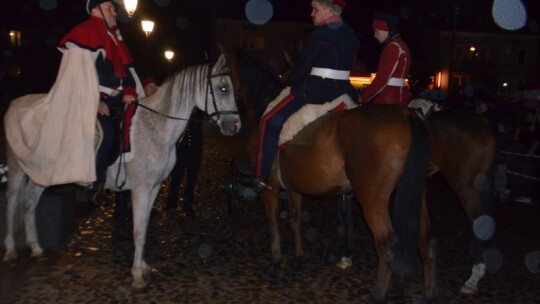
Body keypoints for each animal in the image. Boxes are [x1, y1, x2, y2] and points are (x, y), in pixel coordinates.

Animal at [2, 54, 238, 290]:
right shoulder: (140, 189)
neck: (156, 127)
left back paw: (36, 249)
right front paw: (137, 275)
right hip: (17, 169)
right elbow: (139, 231)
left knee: (29, 204)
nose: (235, 126)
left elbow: (144, 227)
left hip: (41, 174)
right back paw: (11, 251)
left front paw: (143, 267)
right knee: (12, 203)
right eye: (223, 88)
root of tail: (15, 104)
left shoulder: (153, 188)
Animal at [221, 47, 436, 302]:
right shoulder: (293, 187)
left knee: (387, 244)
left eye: (222, 80)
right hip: (417, 193)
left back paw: (378, 295)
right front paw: (298, 261)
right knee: (426, 242)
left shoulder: (269, 185)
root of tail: (408, 115)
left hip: (372, 198)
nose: (229, 123)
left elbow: (273, 222)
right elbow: (295, 220)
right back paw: (428, 294)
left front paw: (274, 264)